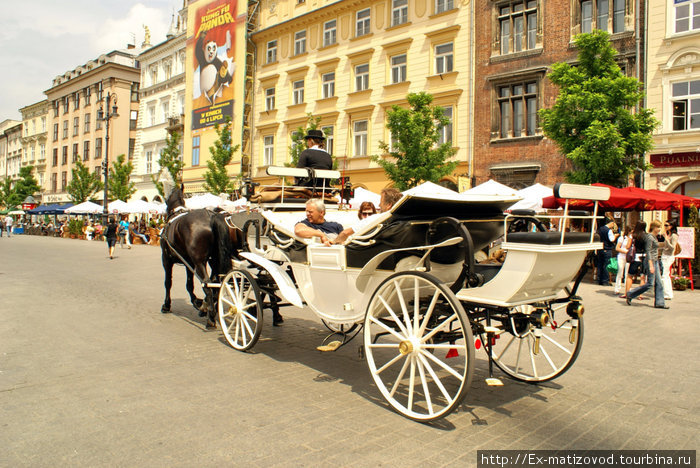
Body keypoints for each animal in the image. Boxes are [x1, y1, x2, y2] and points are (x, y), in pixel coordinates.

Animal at [159, 185, 235, 328]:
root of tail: (211, 217)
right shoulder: (188, 262)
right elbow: (189, 284)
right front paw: (197, 302)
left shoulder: (166, 259)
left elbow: (168, 282)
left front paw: (167, 305)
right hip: (214, 261)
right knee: (217, 283)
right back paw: (209, 308)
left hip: (200, 262)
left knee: (207, 283)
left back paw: (210, 317)